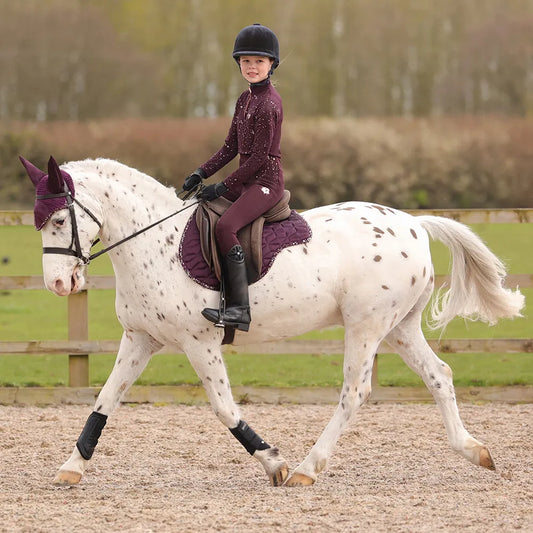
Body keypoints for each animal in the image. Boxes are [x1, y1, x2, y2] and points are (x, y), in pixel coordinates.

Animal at [21, 155, 524, 486]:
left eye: (60, 219)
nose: (59, 284)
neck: (155, 244)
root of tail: (415, 224)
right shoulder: (140, 338)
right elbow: (105, 400)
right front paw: (71, 467)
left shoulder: (199, 342)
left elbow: (224, 407)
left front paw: (273, 462)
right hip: (398, 328)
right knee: (439, 375)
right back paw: (474, 451)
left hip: (366, 326)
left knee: (355, 391)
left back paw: (306, 468)